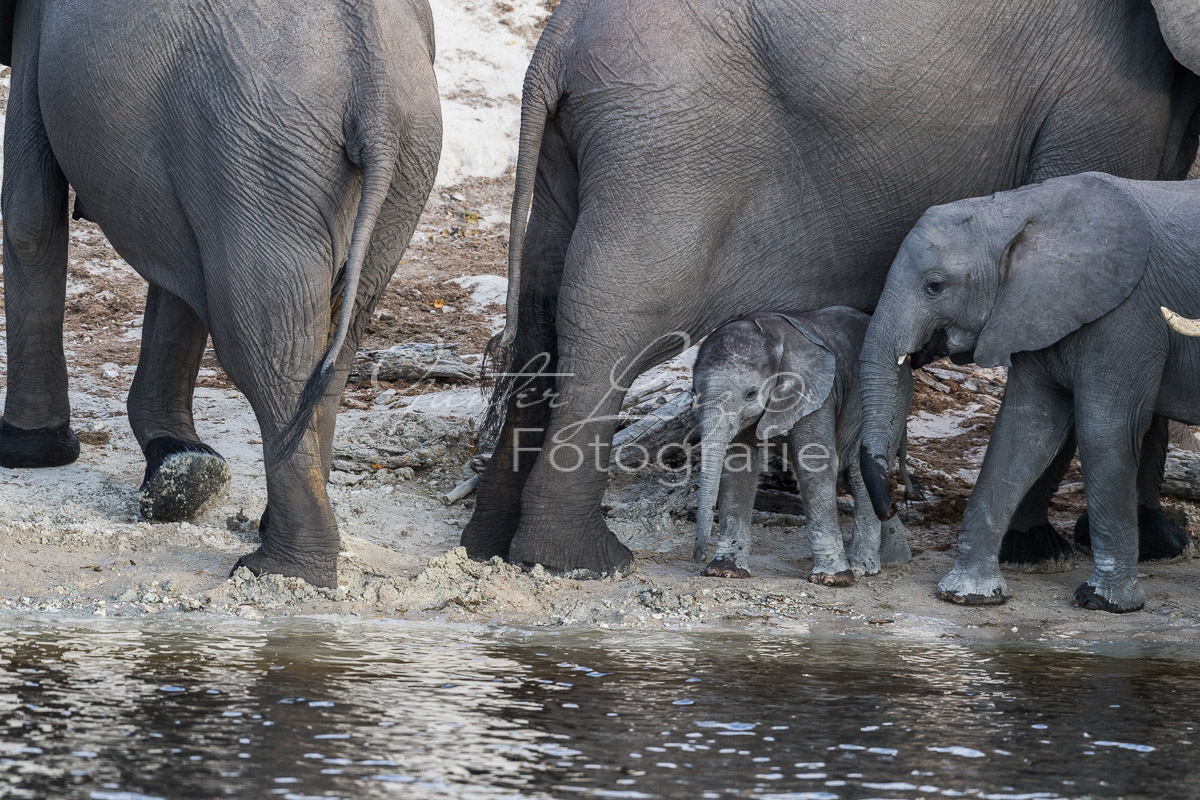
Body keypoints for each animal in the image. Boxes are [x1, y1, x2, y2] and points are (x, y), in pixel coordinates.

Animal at [0, 0, 441, 587]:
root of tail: (374, 90)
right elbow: (180, 274)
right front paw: (181, 466)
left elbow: (30, 214)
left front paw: (27, 452)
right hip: (397, 159)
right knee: (329, 343)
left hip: (260, 148)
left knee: (263, 342)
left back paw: (279, 570)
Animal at [691, 304, 912, 582]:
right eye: (693, 393)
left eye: (751, 394)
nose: (697, 556)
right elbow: (739, 467)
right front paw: (724, 571)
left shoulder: (817, 393)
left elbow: (815, 465)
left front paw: (833, 579)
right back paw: (891, 556)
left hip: (894, 399)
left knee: (857, 472)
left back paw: (861, 567)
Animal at [854, 173, 1200, 614]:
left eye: (934, 286)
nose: (894, 506)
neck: (1017, 210)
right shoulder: (1034, 311)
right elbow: (1024, 429)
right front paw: (966, 594)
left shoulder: (1129, 316)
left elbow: (1104, 431)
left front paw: (1102, 602)